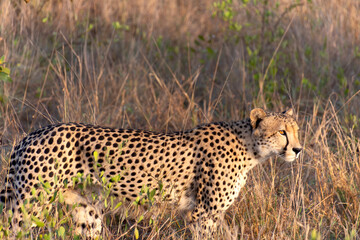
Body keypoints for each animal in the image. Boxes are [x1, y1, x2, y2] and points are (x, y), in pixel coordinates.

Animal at [1, 109, 302, 238]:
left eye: (296, 130)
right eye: (281, 132)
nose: (298, 149)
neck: (250, 146)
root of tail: (32, 133)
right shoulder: (202, 214)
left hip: (87, 213)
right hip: (30, 206)